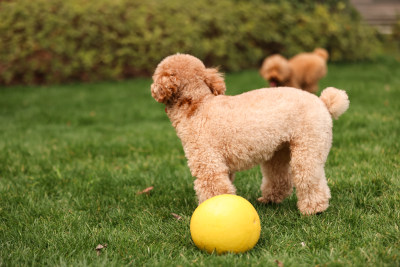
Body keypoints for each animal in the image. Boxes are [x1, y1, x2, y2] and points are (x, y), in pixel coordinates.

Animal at [152, 54, 348, 216]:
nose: (153, 89)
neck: (197, 105)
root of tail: (323, 103)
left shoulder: (208, 163)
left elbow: (215, 190)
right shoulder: (224, 166)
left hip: (309, 146)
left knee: (309, 177)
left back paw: (314, 209)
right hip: (280, 151)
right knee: (281, 178)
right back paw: (270, 199)